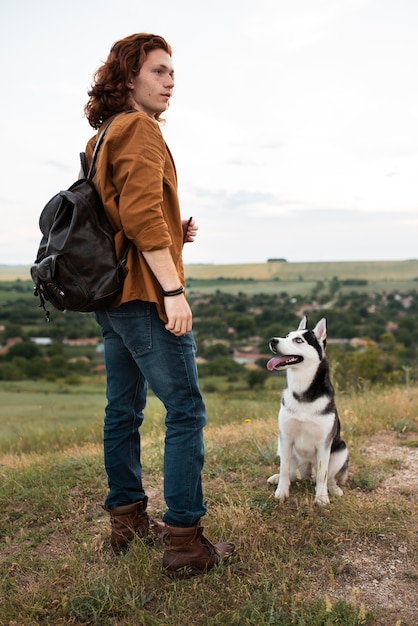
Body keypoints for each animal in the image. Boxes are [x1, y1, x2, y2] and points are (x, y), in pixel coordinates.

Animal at [266, 314, 348, 504]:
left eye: (298, 340)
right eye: (287, 336)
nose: (273, 340)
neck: (302, 389)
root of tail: (306, 470)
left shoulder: (324, 444)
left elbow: (323, 474)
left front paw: (322, 498)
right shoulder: (286, 437)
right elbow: (284, 468)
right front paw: (282, 491)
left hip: (341, 450)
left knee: (328, 476)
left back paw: (333, 488)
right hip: (282, 447)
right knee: (291, 472)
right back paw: (279, 478)